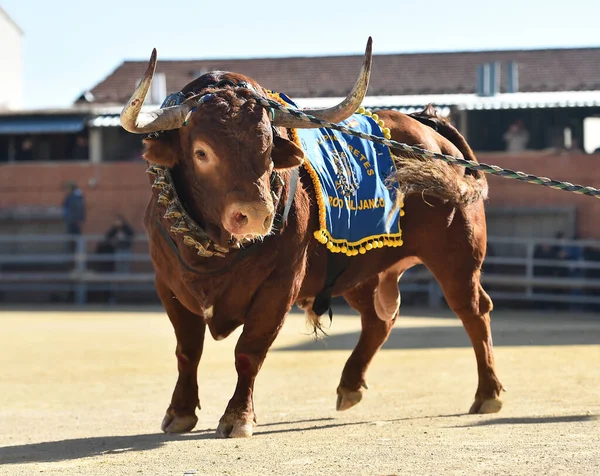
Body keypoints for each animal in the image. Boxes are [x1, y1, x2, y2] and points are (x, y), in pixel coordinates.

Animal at [120, 37, 502, 438]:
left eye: (269, 149)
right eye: (201, 152)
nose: (256, 214)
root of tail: (432, 131)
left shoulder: (280, 285)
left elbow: (249, 350)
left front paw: (238, 416)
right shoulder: (169, 286)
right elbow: (188, 351)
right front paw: (179, 411)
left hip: (457, 260)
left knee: (474, 312)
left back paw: (488, 393)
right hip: (360, 269)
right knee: (379, 319)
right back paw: (350, 385)